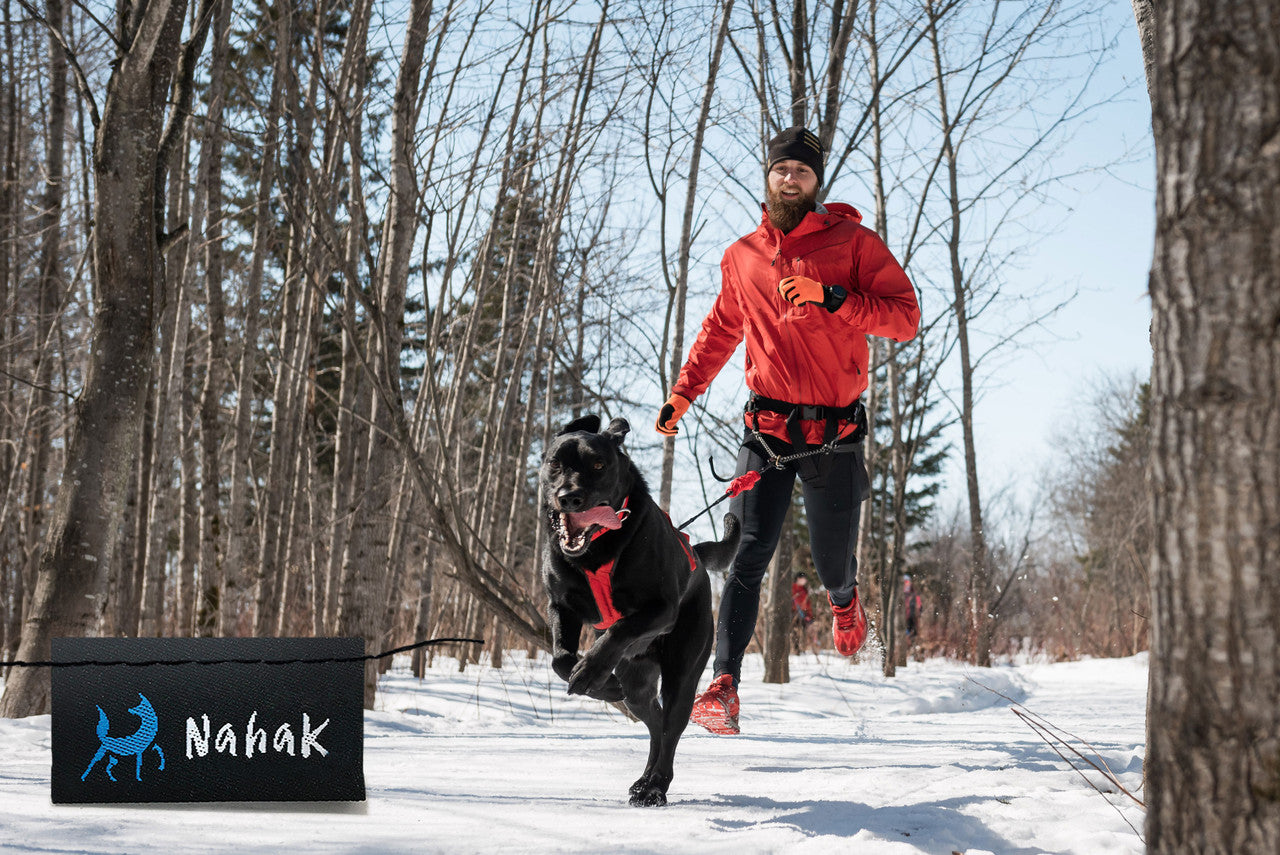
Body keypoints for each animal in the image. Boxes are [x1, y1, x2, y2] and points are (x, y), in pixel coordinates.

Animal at [540, 417, 742, 803]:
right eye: (555, 463)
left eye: (598, 465)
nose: (569, 496)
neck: (597, 553)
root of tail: (697, 555)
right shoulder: (561, 605)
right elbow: (559, 657)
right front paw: (601, 685)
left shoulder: (660, 608)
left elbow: (621, 628)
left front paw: (590, 670)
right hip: (637, 685)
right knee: (655, 723)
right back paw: (643, 780)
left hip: (683, 672)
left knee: (670, 728)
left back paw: (656, 787)